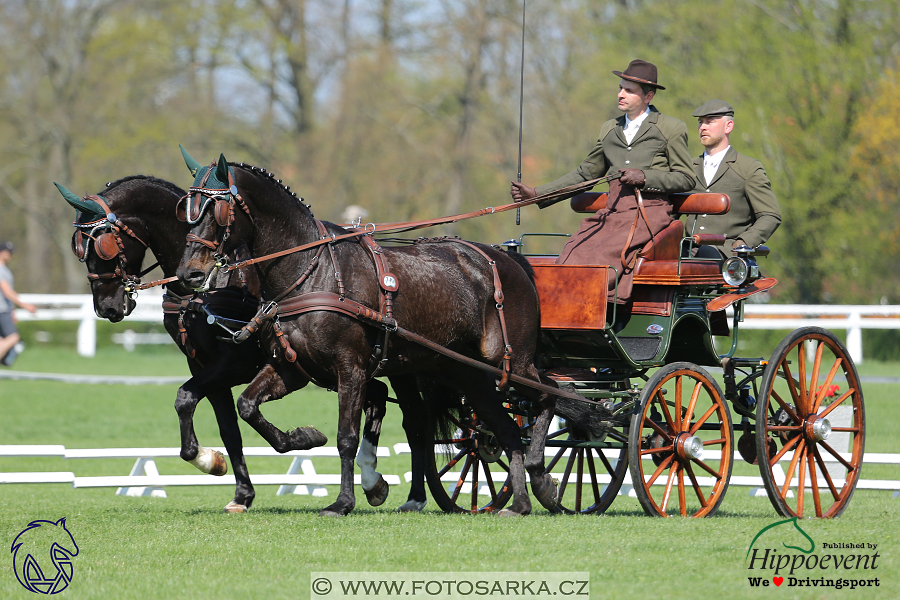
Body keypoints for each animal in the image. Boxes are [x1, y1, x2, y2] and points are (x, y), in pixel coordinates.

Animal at [51, 176, 398, 512]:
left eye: (103, 246)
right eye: (78, 248)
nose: (106, 307)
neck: (208, 288)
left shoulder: (234, 363)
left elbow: (190, 399)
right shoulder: (202, 364)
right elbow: (224, 427)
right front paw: (233, 485)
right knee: (378, 394)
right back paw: (374, 481)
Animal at [174, 152, 564, 512]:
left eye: (215, 209)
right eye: (185, 210)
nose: (189, 273)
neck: (313, 272)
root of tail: (508, 258)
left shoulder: (352, 369)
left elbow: (346, 437)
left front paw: (343, 502)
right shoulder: (291, 368)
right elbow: (247, 406)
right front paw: (303, 438)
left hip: (508, 361)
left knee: (550, 393)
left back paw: (542, 479)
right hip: (466, 372)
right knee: (506, 429)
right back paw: (520, 502)